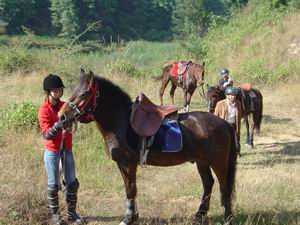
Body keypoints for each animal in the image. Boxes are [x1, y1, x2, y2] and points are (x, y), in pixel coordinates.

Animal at [58, 69, 237, 224]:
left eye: (84, 93)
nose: (62, 116)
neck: (120, 121)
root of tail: (224, 124)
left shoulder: (128, 164)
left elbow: (130, 189)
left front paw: (128, 218)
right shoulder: (123, 165)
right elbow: (130, 189)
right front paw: (134, 216)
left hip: (218, 164)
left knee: (224, 187)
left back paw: (228, 218)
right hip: (202, 162)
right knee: (208, 184)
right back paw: (199, 215)